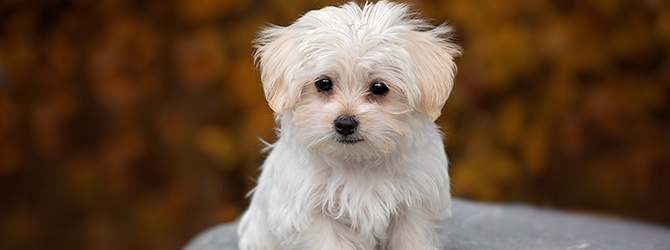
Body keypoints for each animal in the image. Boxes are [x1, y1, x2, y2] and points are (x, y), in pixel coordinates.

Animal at [240, 0, 462, 249]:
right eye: (323, 83)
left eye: (379, 88)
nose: (345, 123)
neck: (357, 163)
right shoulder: (314, 214)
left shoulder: (415, 205)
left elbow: (412, 240)